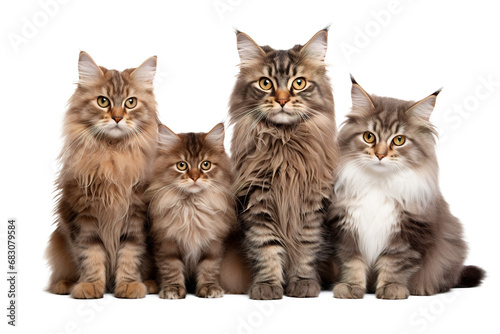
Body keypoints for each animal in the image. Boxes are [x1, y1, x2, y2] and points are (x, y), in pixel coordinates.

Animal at [46, 52, 159, 300]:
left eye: (131, 102)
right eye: (103, 101)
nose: (117, 118)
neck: (111, 155)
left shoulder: (135, 215)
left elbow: (130, 254)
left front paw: (129, 286)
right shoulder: (84, 216)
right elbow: (91, 255)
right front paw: (90, 286)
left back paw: (150, 283)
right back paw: (65, 285)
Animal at [146, 124, 236, 298]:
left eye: (205, 164)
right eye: (182, 165)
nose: (194, 177)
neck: (192, 208)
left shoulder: (214, 244)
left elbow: (209, 268)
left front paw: (209, 288)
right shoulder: (166, 243)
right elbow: (171, 268)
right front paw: (173, 289)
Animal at [228, 29, 338, 300]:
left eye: (298, 83)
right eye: (265, 83)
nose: (281, 100)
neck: (284, 143)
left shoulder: (311, 206)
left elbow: (306, 248)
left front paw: (303, 282)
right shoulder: (258, 201)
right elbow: (266, 248)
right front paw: (267, 286)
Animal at [328, 76, 484, 300]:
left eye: (399, 140)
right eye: (369, 136)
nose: (380, 155)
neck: (378, 184)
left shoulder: (408, 233)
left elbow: (394, 264)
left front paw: (391, 288)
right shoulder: (346, 231)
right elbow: (352, 263)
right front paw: (350, 288)